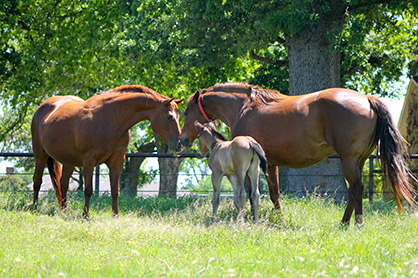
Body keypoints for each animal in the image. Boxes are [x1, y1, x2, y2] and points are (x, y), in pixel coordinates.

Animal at [30, 84, 184, 217]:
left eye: (178, 117)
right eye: (169, 116)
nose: (179, 144)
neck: (110, 118)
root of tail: (43, 107)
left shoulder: (117, 161)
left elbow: (115, 190)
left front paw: (116, 215)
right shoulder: (89, 161)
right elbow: (88, 190)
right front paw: (85, 215)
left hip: (69, 161)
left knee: (63, 184)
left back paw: (64, 212)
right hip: (40, 155)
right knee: (37, 181)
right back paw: (34, 208)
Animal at [180, 82, 418, 226]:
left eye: (185, 112)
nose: (181, 140)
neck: (245, 107)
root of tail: (367, 99)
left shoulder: (253, 167)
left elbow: (251, 193)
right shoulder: (270, 163)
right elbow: (273, 194)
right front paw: (278, 219)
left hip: (349, 161)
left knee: (356, 189)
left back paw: (356, 223)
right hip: (358, 162)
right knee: (353, 190)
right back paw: (343, 223)